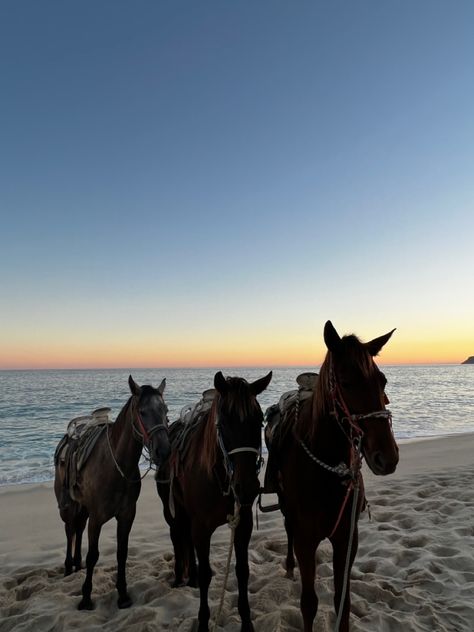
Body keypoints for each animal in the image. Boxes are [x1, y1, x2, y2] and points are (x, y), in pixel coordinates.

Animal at [53, 378, 170, 608]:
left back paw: (77, 565)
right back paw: (69, 567)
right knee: (70, 530)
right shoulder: (97, 518)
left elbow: (121, 553)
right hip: (68, 506)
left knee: (78, 529)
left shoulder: (126, 515)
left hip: (83, 508)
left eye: (165, 410)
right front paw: (86, 598)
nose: (163, 451)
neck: (115, 466)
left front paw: (122, 594)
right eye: (142, 412)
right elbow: (93, 555)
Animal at [157, 370, 272, 632]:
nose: (247, 487)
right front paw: (202, 622)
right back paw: (179, 577)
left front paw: (247, 622)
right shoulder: (201, 528)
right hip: (173, 513)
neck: (217, 477)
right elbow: (207, 574)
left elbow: (242, 571)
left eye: (259, 420)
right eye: (225, 422)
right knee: (177, 538)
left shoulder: (243, 523)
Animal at [264, 320, 398, 632]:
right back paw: (289, 567)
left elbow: (342, 602)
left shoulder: (347, 538)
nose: (387, 457)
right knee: (287, 529)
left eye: (383, 381)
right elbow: (309, 603)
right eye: (346, 382)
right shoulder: (305, 540)